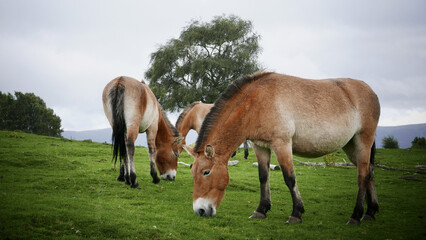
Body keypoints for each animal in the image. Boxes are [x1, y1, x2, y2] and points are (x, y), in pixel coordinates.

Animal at [185, 71, 382, 225]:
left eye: (206, 172)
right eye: (192, 171)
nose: (200, 211)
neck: (257, 101)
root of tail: (371, 91)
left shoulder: (282, 144)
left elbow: (289, 178)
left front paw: (296, 213)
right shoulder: (260, 146)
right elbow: (263, 177)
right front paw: (261, 210)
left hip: (363, 140)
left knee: (362, 175)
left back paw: (356, 216)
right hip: (351, 146)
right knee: (369, 172)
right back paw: (370, 213)